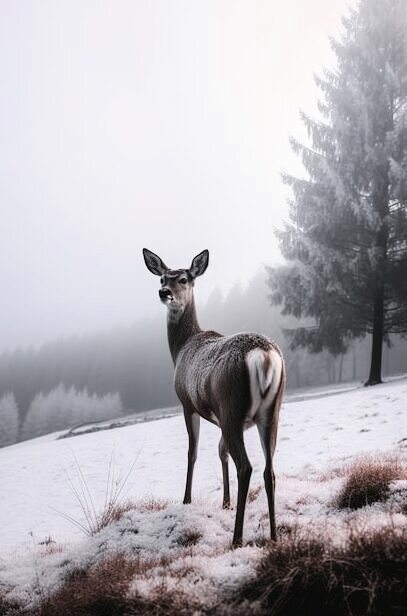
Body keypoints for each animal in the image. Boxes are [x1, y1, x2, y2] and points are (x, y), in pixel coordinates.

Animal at [143, 245, 286, 544]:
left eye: (183, 279)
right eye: (161, 278)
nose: (165, 293)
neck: (181, 349)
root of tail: (265, 357)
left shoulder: (187, 403)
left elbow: (192, 452)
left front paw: (186, 500)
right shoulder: (221, 418)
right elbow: (221, 452)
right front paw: (225, 502)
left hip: (232, 405)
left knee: (246, 467)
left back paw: (237, 538)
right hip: (270, 411)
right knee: (269, 470)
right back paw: (273, 535)